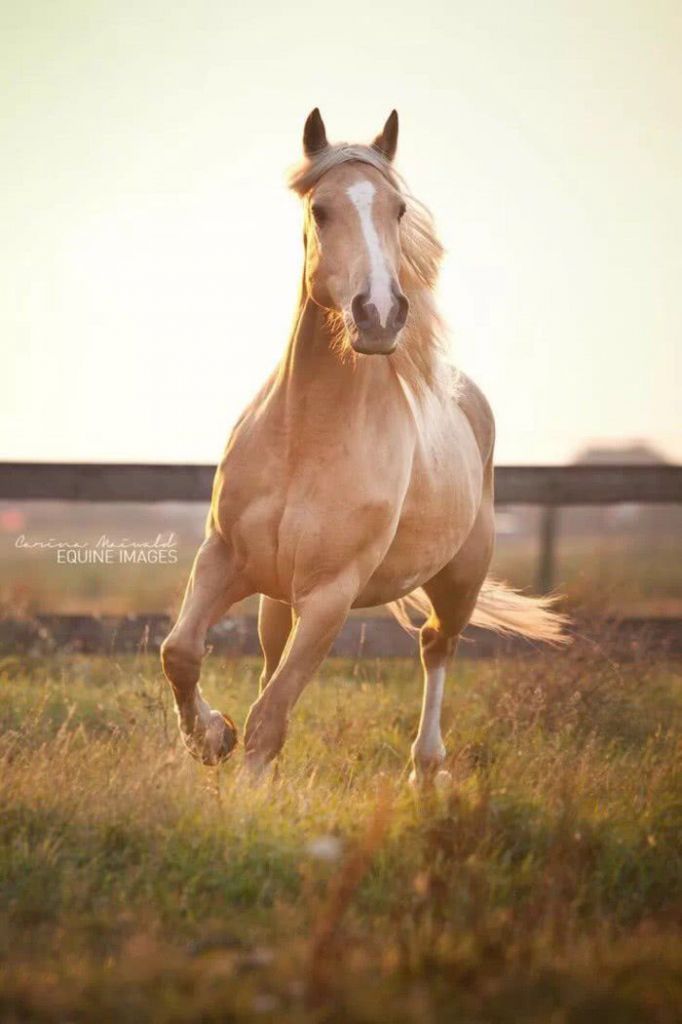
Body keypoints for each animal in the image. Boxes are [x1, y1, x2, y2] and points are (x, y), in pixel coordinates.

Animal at [159, 108, 561, 778]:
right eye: (321, 209)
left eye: (397, 210)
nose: (379, 314)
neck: (304, 439)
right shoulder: (224, 557)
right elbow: (181, 652)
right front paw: (211, 739)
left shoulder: (331, 596)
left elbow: (271, 718)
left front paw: (244, 788)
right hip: (276, 596)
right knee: (270, 659)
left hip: (459, 578)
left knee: (436, 646)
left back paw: (425, 770)